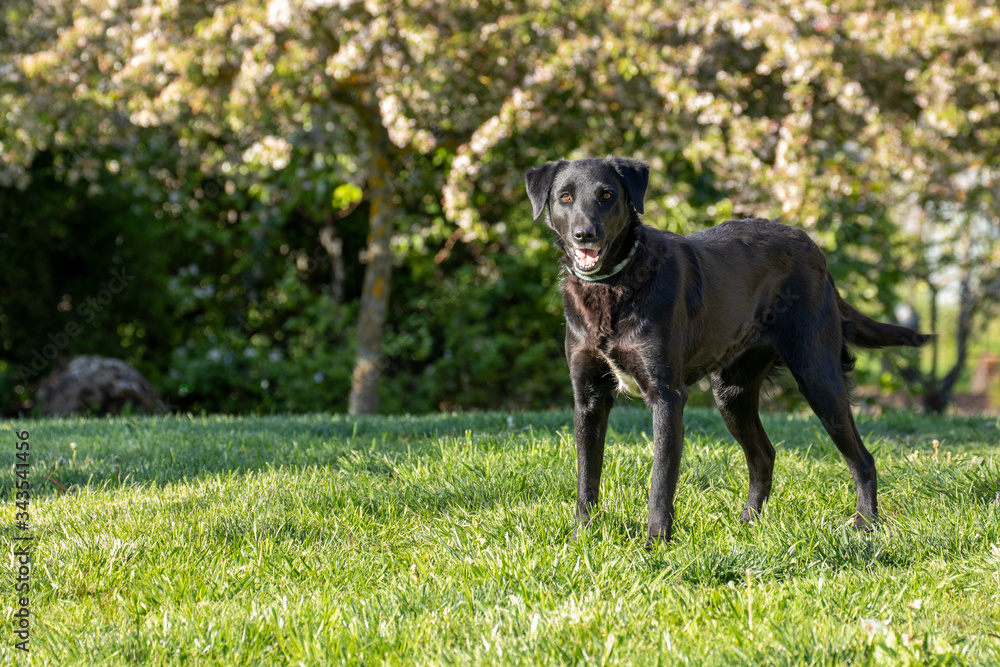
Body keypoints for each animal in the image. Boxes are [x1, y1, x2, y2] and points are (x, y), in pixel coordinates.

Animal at [524, 158, 928, 548]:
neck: (613, 284)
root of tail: (813, 248)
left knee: (863, 459)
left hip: (818, 377)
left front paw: (655, 544)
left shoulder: (666, 397)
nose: (585, 234)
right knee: (764, 456)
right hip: (731, 393)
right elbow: (586, 478)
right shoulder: (589, 398)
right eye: (565, 197)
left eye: (607, 195)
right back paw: (748, 523)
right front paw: (581, 537)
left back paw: (865, 525)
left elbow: (660, 480)